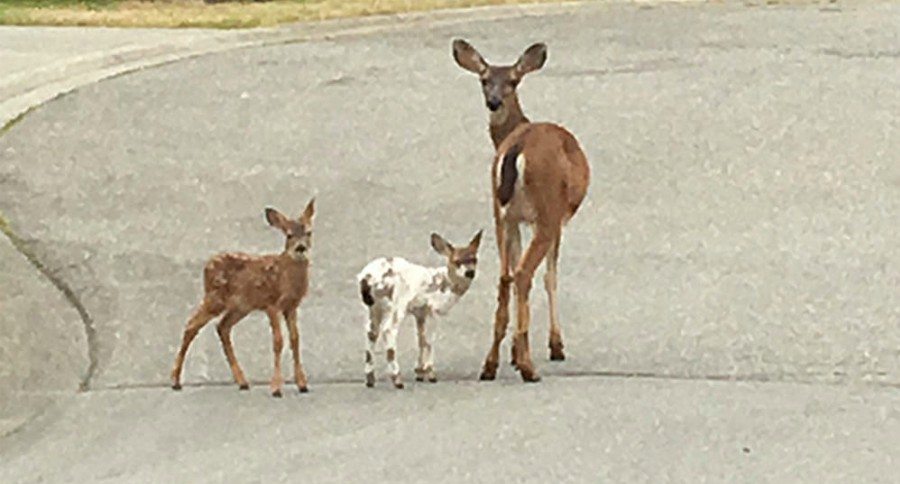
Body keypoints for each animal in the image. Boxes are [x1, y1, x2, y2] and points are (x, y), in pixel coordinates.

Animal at [450, 38, 592, 382]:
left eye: (511, 81)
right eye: (484, 80)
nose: (493, 101)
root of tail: (516, 147)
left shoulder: (514, 219)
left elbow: (514, 273)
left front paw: (513, 353)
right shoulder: (555, 219)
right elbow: (551, 276)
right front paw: (555, 346)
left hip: (499, 212)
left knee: (505, 276)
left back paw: (491, 364)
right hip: (546, 208)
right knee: (525, 274)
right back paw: (529, 367)